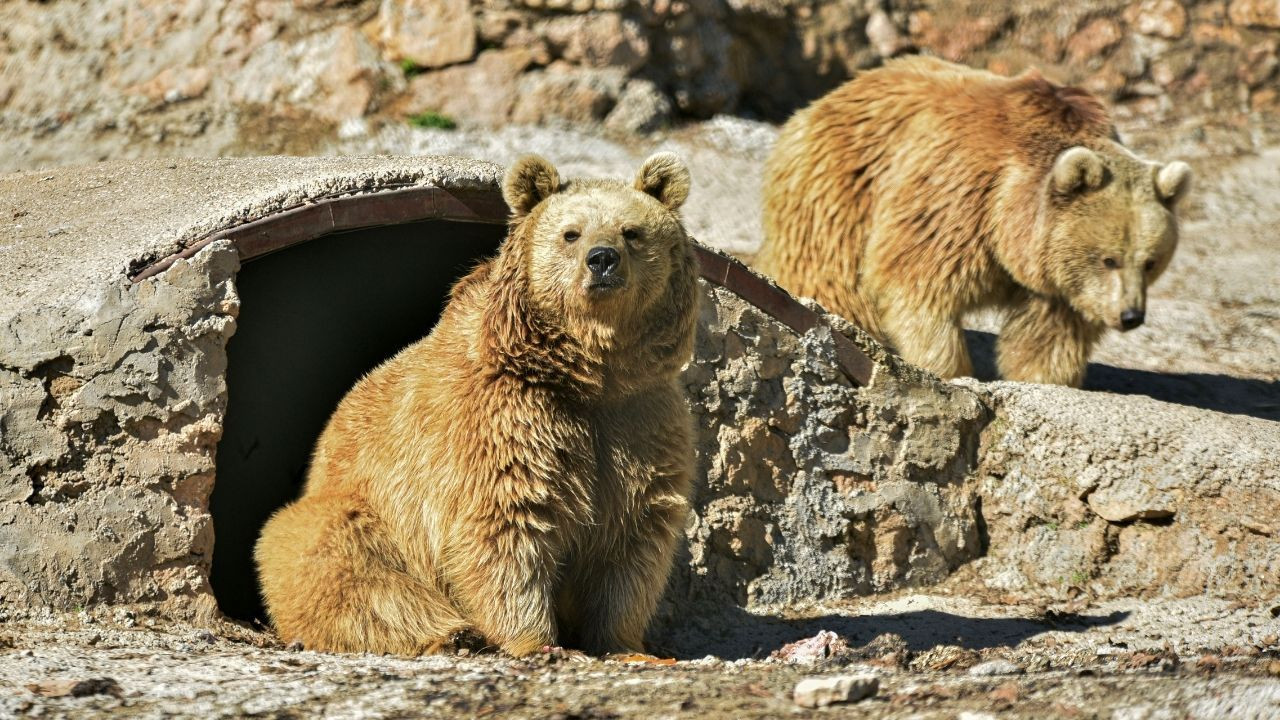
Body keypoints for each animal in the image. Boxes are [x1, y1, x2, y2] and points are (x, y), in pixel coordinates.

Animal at [253, 152, 701, 655]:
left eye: (631, 231)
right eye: (571, 233)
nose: (602, 259)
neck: (590, 374)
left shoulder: (640, 418)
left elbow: (633, 536)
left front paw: (628, 644)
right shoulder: (505, 418)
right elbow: (505, 524)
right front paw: (535, 639)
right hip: (357, 507)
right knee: (343, 562)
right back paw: (452, 634)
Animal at [757, 56, 1187, 386]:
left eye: (1151, 262)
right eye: (1109, 258)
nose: (1131, 316)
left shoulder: (1056, 280)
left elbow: (1049, 334)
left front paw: (1043, 380)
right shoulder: (961, 200)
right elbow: (918, 285)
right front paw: (952, 371)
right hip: (843, 185)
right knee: (830, 273)